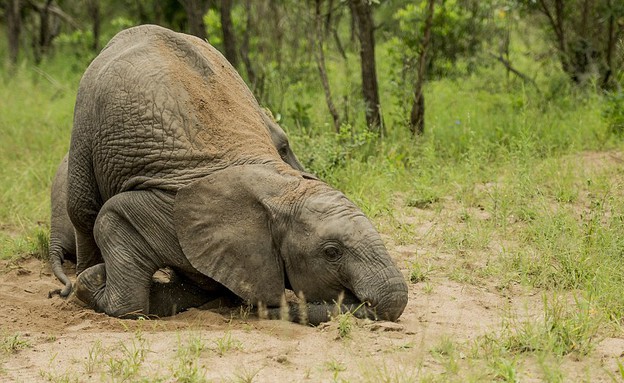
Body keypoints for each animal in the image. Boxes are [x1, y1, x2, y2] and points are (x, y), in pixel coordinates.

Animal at [66, 24, 410, 324]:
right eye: (332, 252)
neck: (278, 186)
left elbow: (200, 287)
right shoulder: (169, 213)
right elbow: (116, 218)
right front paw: (92, 281)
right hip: (84, 117)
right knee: (82, 210)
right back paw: (82, 275)